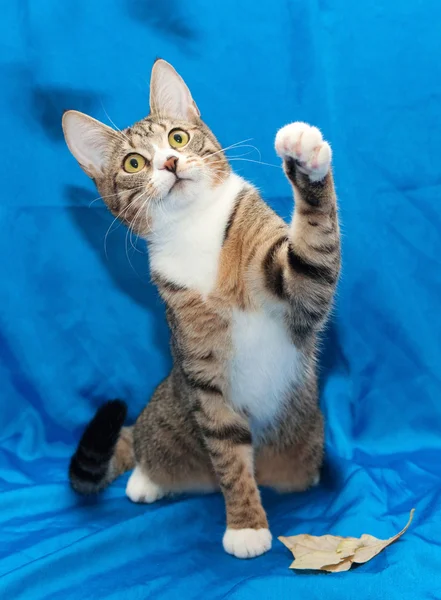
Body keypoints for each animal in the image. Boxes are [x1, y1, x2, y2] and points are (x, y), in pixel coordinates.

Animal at [63, 59, 340, 556]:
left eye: (177, 137)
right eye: (134, 163)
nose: (170, 163)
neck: (194, 228)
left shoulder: (299, 292)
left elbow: (312, 255)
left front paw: (305, 162)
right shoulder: (203, 374)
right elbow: (228, 455)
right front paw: (246, 526)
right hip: (167, 418)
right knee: (150, 448)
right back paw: (146, 480)